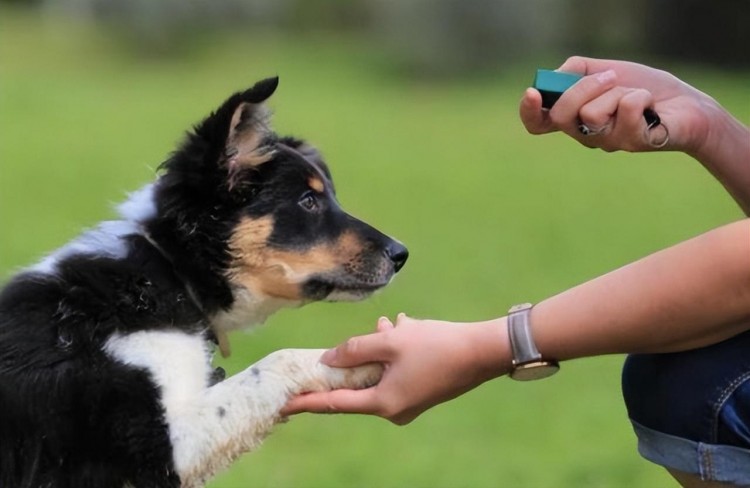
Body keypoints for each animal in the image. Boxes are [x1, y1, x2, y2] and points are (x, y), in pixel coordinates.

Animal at [0, 78, 408, 488]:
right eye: (308, 201)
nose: (401, 254)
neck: (168, 271)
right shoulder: (158, 447)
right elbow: (278, 361)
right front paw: (365, 360)